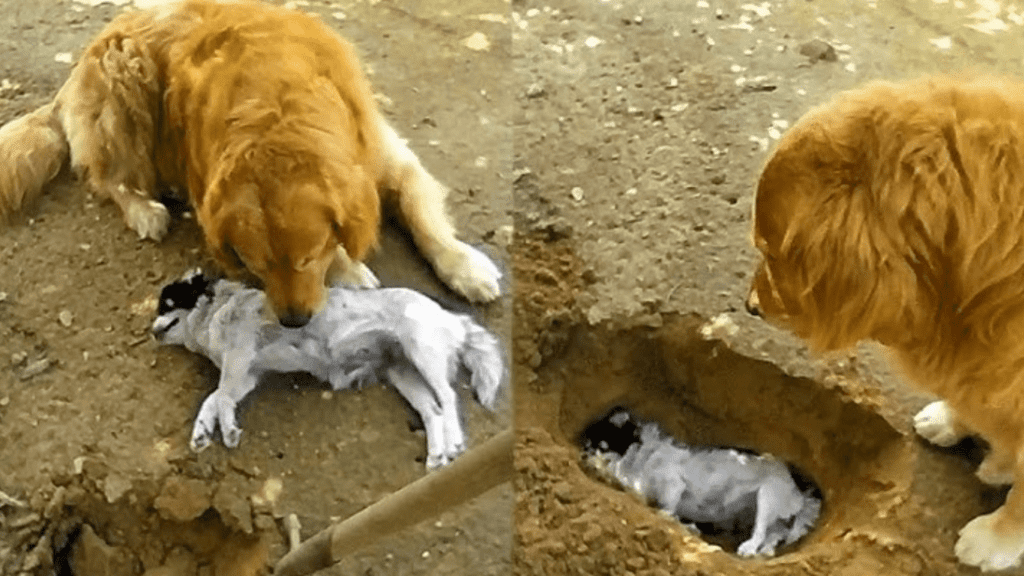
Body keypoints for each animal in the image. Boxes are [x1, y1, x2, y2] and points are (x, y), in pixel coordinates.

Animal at [0, 0, 499, 323]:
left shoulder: (386, 155)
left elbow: (423, 217)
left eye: (306, 259)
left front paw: (466, 267)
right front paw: (349, 267)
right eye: (258, 266)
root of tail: (77, 68)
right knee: (108, 179)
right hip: (125, 81)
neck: (276, 109)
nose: (294, 321)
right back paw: (146, 210)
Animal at [151, 268, 503, 467]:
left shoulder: (238, 359)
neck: (217, 310)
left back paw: (454, 441)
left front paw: (228, 430)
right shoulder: (246, 375)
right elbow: (213, 398)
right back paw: (436, 455)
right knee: (433, 410)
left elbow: (221, 397)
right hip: (403, 373)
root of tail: (450, 316)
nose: (150, 331)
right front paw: (201, 432)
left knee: (448, 397)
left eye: (166, 306)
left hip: (422, 353)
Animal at [581, 403, 819, 557]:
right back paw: (766, 551)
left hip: (767, 498)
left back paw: (750, 548)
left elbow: (665, 510)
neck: (641, 461)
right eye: (585, 446)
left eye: (601, 446)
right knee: (776, 532)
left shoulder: (673, 486)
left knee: (761, 531)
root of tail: (798, 488)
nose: (583, 456)